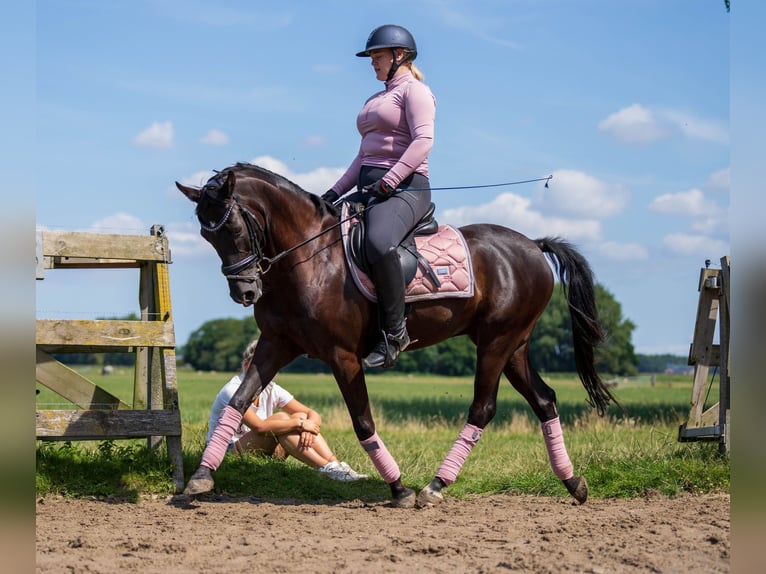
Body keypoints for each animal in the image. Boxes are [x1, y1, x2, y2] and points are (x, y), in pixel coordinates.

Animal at [176, 162, 616, 508]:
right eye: (206, 235)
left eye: (233, 227)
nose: (245, 292)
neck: (309, 260)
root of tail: (534, 246)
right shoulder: (276, 344)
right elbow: (238, 400)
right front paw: (201, 476)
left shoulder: (343, 356)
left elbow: (362, 421)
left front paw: (398, 488)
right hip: (514, 346)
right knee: (544, 400)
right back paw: (572, 482)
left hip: (497, 343)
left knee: (483, 409)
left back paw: (435, 486)